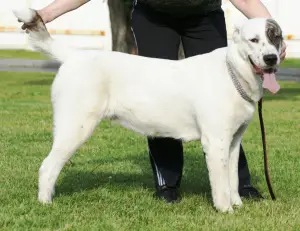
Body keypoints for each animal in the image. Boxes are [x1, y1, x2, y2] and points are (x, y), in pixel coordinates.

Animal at [13, 8, 284, 212]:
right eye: (254, 40)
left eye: (276, 37)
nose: (271, 58)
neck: (232, 71)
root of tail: (74, 55)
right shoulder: (215, 141)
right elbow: (220, 183)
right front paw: (225, 210)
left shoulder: (233, 141)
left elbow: (233, 178)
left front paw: (237, 205)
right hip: (75, 128)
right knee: (47, 167)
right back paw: (45, 203)